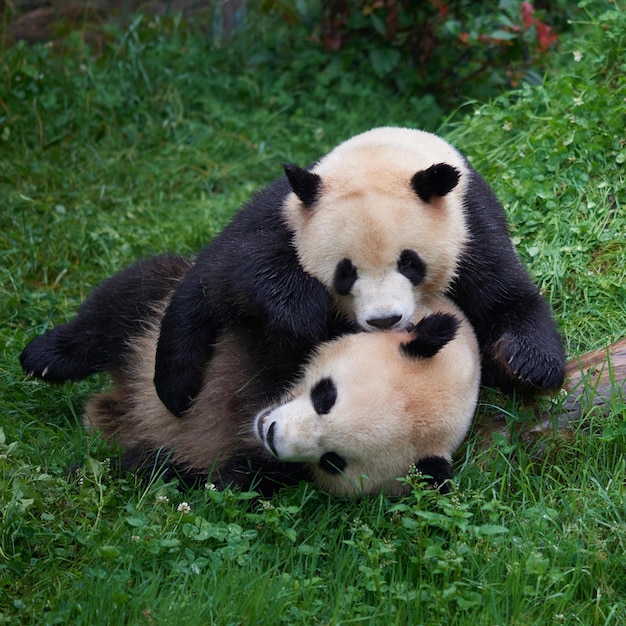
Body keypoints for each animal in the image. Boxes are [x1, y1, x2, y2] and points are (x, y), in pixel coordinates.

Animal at [19, 252, 478, 492]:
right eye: (325, 396)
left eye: (333, 460)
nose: (272, 433)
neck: (269, 396)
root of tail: (118, 401)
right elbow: (255, 291)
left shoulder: (267, 471)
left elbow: (208, 478)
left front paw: (104, 470)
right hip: (153, 318)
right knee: (126, 302)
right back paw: (45, 357)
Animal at [149, 124, 564, 416]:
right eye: (345, 273)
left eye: (410, 264)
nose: (384, 320)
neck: (379, 154)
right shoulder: (280, 214)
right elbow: (235, 267)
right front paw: (301, 312)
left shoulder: (470, 227)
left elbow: (505, 296)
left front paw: (528, 364)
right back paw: (176, 390)